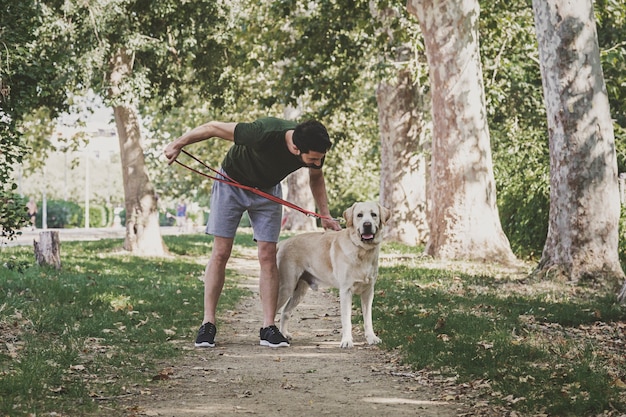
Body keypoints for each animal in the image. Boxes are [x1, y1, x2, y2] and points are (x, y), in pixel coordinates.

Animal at [274, 202, 388, 348]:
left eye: (374, 214)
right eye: (359, 215)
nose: (367, 225)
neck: (362, 251)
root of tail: (283, 242)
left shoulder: (368, 291)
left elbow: (368, 319)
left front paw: (371, 338)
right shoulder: (345, 291)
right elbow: (346, 320)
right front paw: (347, 341)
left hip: (299, 292)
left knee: (285, 311)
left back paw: (283, 334)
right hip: (286, 287)